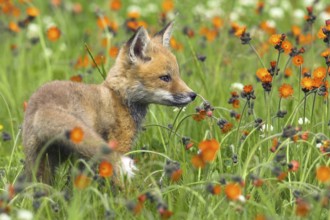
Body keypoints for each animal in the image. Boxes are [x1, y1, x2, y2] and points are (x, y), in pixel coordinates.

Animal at [21, 22, 197, 184]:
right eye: (165, 78)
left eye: (178, 75)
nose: (193, 95)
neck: (120, 97)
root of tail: (45, 105)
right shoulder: (120, 144)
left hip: (41, 164)